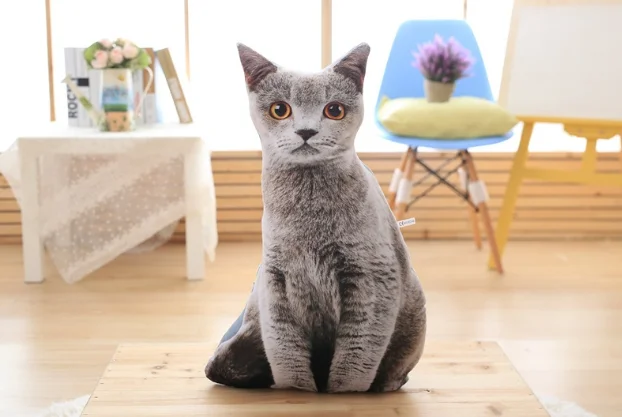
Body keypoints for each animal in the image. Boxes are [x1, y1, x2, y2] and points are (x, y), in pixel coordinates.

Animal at [205, 40, 428, 392]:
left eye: (334, 110)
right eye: (279, 109)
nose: (306, 131)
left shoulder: (372, 279)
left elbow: (355, 360)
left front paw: (343, 393)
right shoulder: (275, 281)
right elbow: (286, 353)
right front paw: (298, 390)